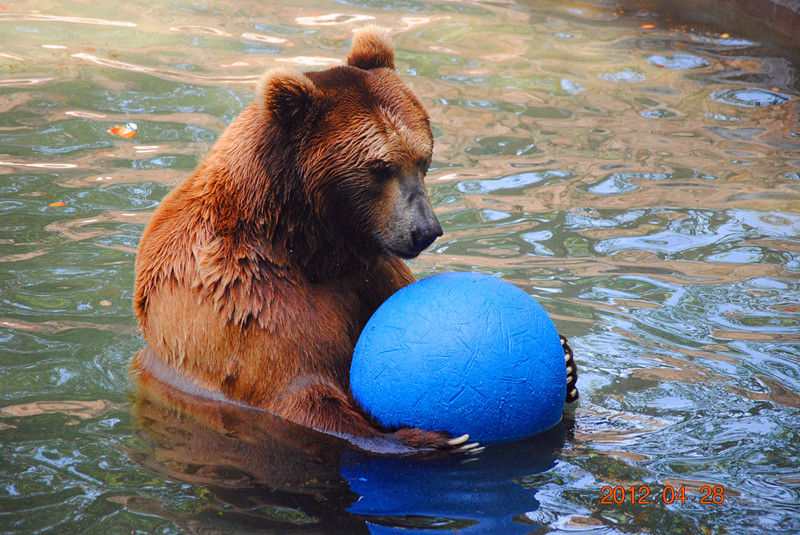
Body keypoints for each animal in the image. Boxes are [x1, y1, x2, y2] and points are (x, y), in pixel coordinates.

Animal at [130, 27, 468, 454]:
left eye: (424, 158)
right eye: (379, 167)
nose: (425, 230)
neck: (308, 244)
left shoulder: (372, 272)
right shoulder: (244, 298)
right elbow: (298, 391)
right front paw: (435, 439)